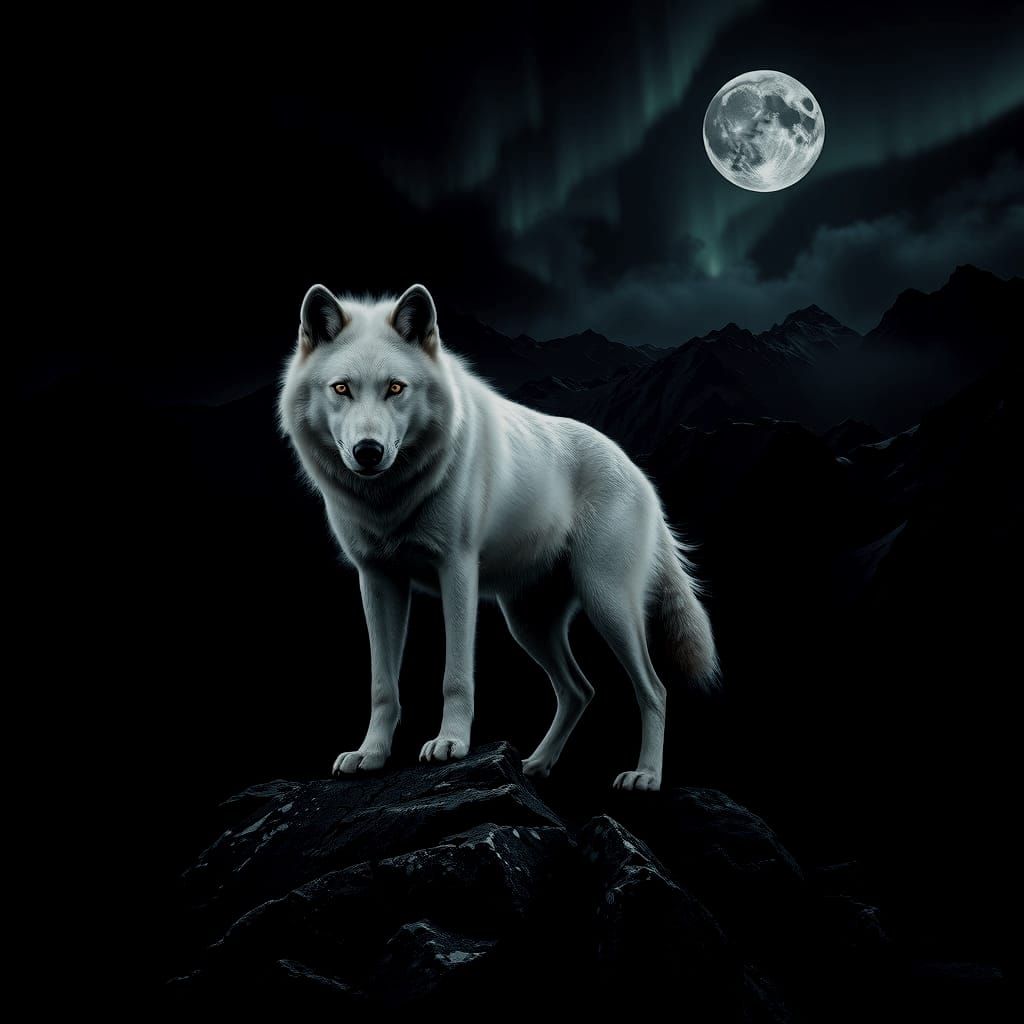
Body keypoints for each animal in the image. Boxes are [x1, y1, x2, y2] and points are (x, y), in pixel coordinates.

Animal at [278, 283, 719, 790]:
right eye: (341, 388)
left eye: (395, 388)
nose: (368, 451)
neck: (392, 500)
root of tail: (641, 477)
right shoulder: (377, 579)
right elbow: (382, 685)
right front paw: (370, 754)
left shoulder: (457, 571)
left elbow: (455, 676)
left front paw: (450, 743)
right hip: (527, 623)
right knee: (580, 689)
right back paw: (537, 764)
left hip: (607, 604)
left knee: (654, 688)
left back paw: (645, 776)